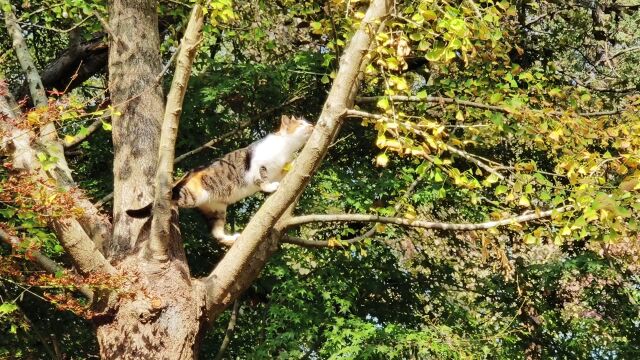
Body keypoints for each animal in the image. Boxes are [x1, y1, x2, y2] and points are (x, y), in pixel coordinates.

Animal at [125, 116, 312, 248]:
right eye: (300, 124)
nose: (311, 126)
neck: (285, 148)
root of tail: (192, 171)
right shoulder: (258, 165)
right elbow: (262, 178)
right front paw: (270, 187)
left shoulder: (279, 170)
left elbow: (283, 173)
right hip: (193, 195)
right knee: (171, 197)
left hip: (217, 209)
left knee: (216, 233)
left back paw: (231, 239)